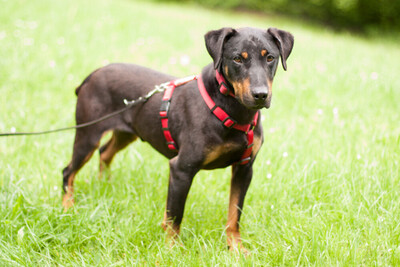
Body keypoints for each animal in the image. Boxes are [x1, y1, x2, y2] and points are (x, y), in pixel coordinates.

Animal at [62, 26, 294, 252]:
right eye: (237, 58)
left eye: (270, 57)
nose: (260, 95)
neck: (233, 109)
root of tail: (93, 74)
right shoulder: (182, 169)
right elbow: (175, 215)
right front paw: (172, 249)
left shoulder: (244, 169)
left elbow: (234, 214)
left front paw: (236, 248)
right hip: (88, 135)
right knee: (69, 171)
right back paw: (68, 207)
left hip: (127, 133)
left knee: (105, 153)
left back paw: (104, 185)